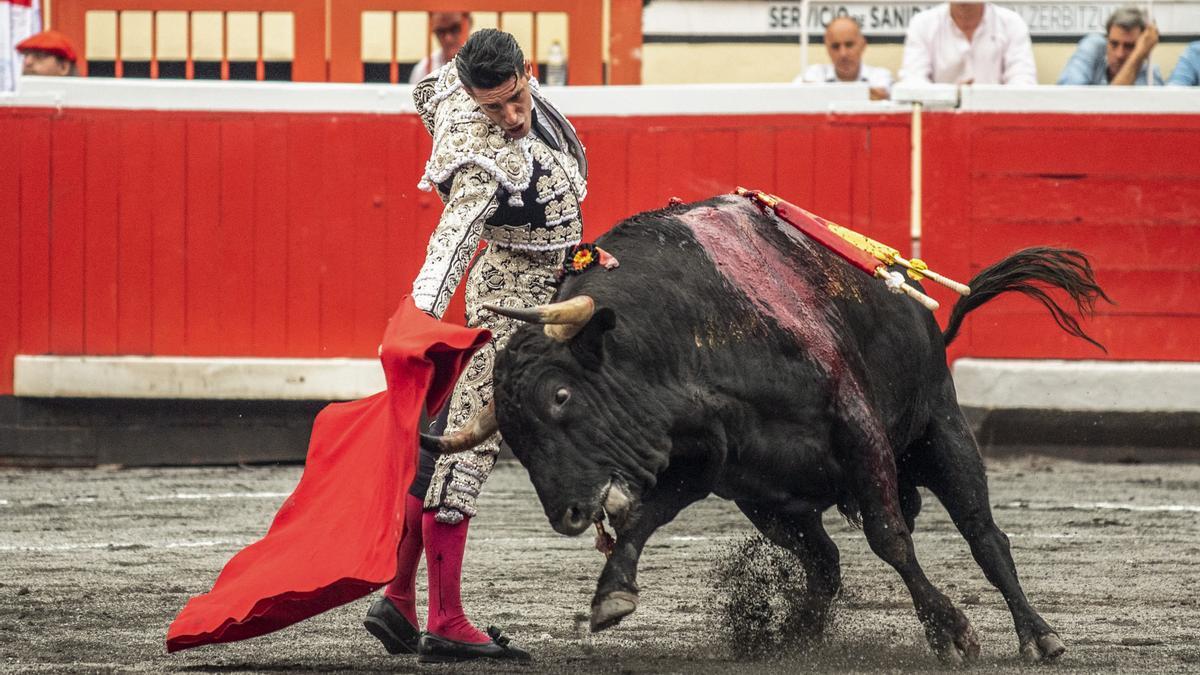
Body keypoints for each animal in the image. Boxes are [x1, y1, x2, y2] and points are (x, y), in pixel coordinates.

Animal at [432, 192, 1104, 658]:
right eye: (516, 440)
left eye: (562, 395)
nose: (568, 514)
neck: (685, 341)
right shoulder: (708, 466)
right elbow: (641, 522)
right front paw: (610, 598)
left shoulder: (856, 427)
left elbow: (890, 537)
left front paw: (953, 631)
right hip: (776, 504)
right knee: (824, 562)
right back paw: (796, 635)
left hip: (941, 429)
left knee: (984, 535)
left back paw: (1039, 637)